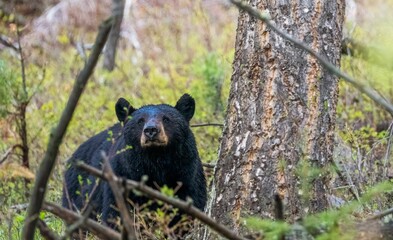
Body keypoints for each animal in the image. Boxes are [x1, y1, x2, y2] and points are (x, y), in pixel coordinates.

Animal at [61, 93, 207, 229]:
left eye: (166, 119)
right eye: (140, 121)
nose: (151, 130)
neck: (156, 160)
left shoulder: (187, 173)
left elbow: (190, 208)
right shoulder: (122, 174)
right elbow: (115, 213)